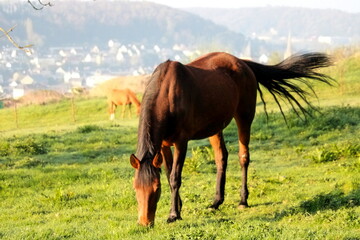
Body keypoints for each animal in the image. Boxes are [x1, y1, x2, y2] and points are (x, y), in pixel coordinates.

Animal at [129, 51, 332, 226]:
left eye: (156, 189)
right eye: (135, 188)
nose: (144, 223)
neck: (168, 93)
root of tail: (243, 62)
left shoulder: (181, 142)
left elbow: (174, 178)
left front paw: (173, 215)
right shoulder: (164, 145)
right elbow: (169, 173)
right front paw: (178, 207)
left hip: (244, 117)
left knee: (243, 157)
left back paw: (243, 200)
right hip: (215, 127)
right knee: (221, 157)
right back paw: (216, 202)